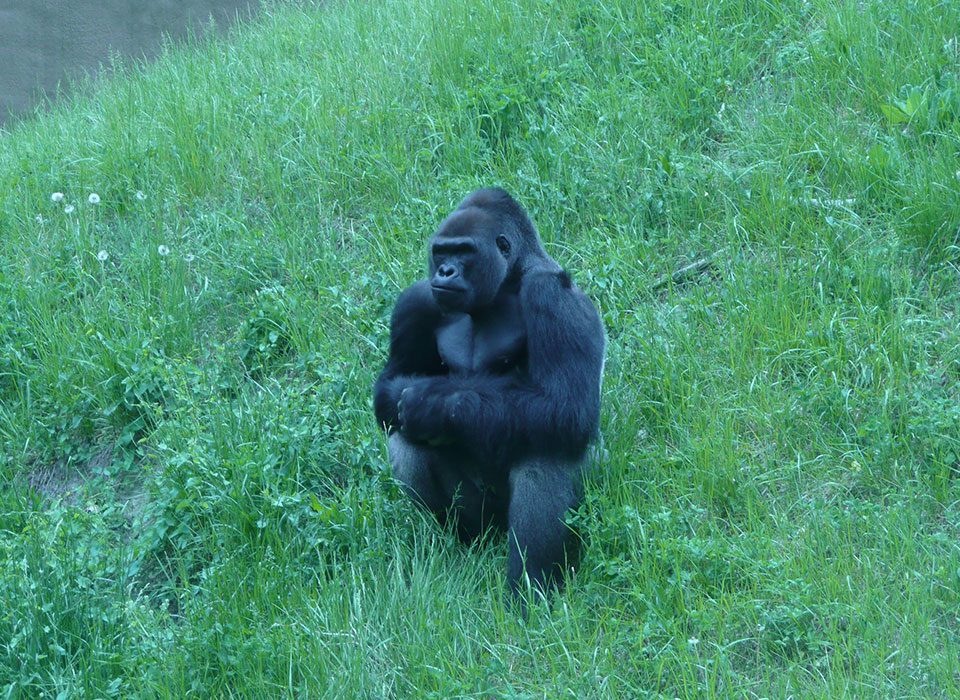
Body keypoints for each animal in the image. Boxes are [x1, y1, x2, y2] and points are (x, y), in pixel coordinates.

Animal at [374, 189, 604, 600]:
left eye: (464, 251)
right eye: (441, 252)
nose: (445, 272)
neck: (508, 281)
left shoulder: (555, 297)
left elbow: (567, 407)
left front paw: (431, 403)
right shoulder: (416, 300)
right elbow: (389, 387)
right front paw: (418, 401)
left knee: (546, 448)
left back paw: (531, 589)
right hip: (484, 520)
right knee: (405, 437)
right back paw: (463, 541)